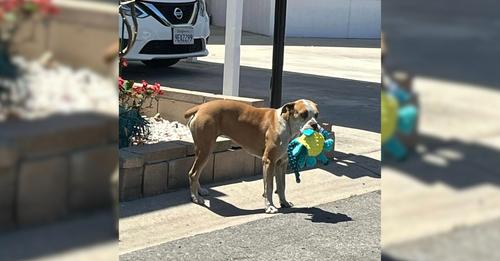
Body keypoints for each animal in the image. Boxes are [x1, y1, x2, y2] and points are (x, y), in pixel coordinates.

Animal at [185, 98, 320, 212]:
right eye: (303, 114)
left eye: (316, 115)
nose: (315, 125)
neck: (286, 125)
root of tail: (200, 107)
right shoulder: (269, 161)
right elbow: (269, 186)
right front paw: (269, 207)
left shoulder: (281, 163)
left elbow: (282, 185)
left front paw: (284, 202)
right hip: (205, 150)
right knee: (193, 173)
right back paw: (195, 198)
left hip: (204, 151)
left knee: (196, 172)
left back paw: (200, 191)